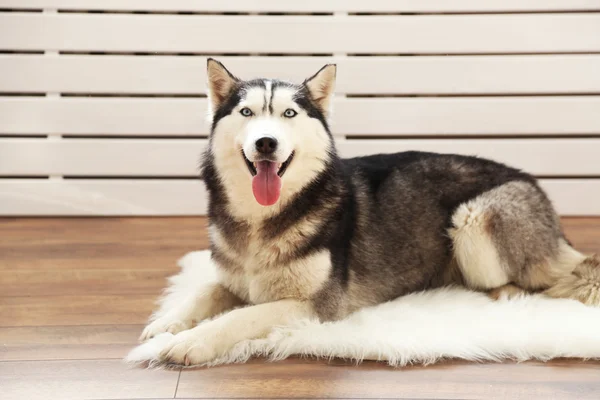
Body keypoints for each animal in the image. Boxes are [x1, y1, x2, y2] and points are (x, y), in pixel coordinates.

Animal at [139, 60, 600, 366]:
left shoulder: (315, 306)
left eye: (289, 113)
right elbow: (205, 291)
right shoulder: (233, 279)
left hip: (474, 221)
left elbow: (241, 315)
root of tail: (535, 184)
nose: (266, 142)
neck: (262, 221)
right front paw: (166, 323)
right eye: (246, 112)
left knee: (531, 282)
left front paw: (191, 342)